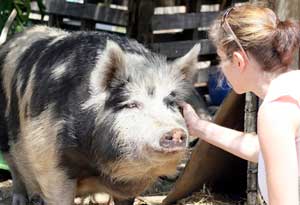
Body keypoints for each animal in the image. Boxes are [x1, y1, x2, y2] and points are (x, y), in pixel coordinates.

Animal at [0, 26, 202, 205]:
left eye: (171, 103)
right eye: (131, 104)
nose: (175, 132)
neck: (100, 167)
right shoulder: (51, 164)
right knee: (15, 169)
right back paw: (20, 201)